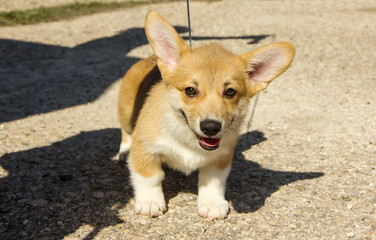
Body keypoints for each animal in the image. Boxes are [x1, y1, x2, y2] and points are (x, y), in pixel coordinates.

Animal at [119, 10, 296, 219]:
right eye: (190, 90)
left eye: (230, 92)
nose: (211, 127)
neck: (188, 139)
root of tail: (150, 59)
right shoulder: (145, 149)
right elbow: (150, 177)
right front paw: (150, 202)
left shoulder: (220, 158)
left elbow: (212, 181)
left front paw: (212, 204)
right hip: (126, 112)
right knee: (125, 132)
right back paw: (124, 151)